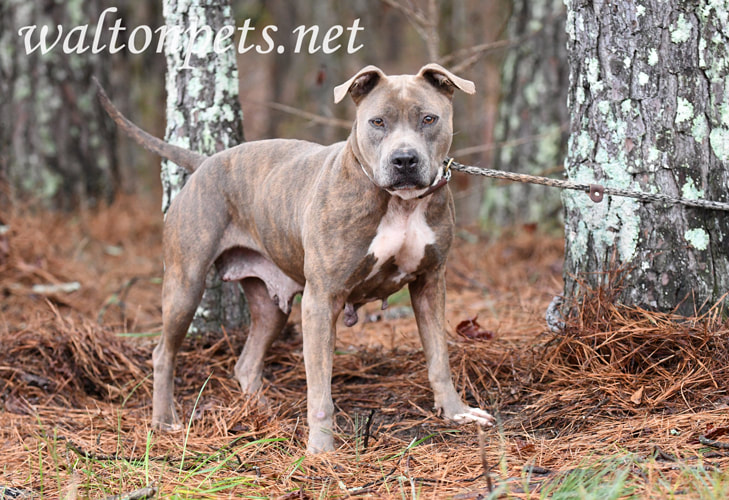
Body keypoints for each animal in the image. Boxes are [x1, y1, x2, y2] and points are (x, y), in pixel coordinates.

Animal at [96, 63, 492, 454]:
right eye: (377, 122)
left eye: (429, 118)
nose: (405, 159)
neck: (400, 204)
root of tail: (206, 161)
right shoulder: (321, 299)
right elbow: (320, 388)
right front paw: (321, 451)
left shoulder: (430, 283)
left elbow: (439, 357)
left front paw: (456, 412)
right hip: (185, 283)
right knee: (164, 352)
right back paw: (166, 420)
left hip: (271, 307)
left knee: (246, 363)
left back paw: (261, 412)